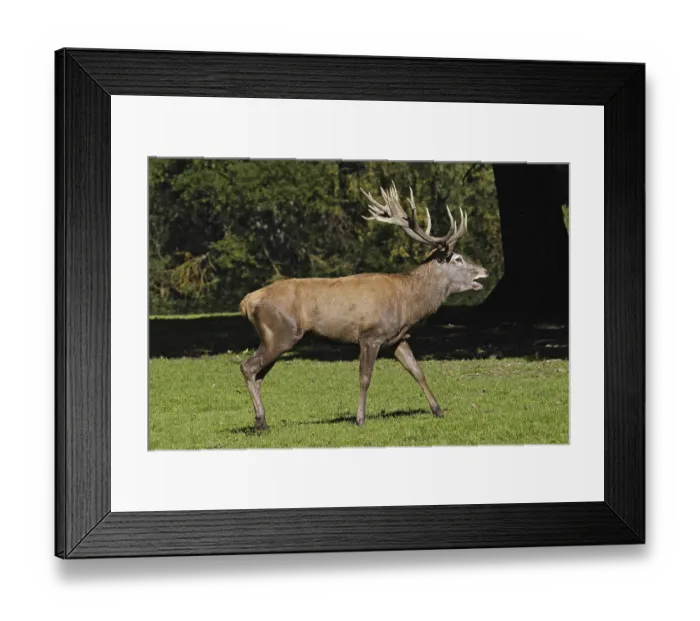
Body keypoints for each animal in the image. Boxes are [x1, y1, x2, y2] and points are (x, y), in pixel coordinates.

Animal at [239, 182, 489, 430]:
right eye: (458, 259)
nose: (484, 271)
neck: (409, 303)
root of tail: (248, 301)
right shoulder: (370, 335)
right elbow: (365, 378)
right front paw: (360, 419)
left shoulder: (397, 338)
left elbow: (417, 371)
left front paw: (438, 410)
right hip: (281, 334)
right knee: (247, 367)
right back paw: (260, 421)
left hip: (274, 338)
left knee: (259, 374)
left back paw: (261, 421)